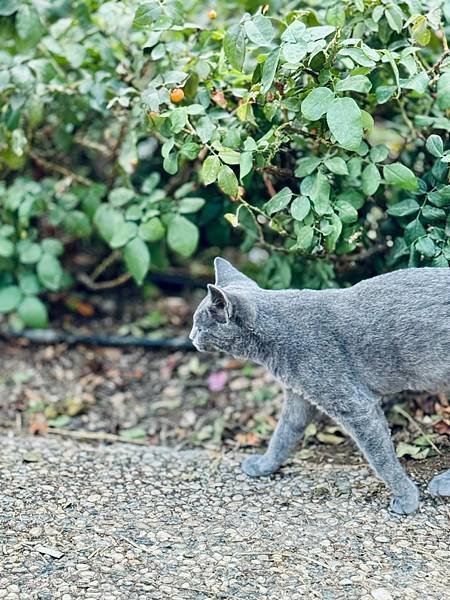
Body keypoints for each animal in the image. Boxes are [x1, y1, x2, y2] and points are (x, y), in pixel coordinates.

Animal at [190, 258, 450, 516]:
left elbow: (380, 456)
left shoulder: (354, 405)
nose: (191, 337)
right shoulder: (299, 396)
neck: (275, 337)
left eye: (201, 327)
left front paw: (406, 498)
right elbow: (282, 435)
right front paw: (264, 466)